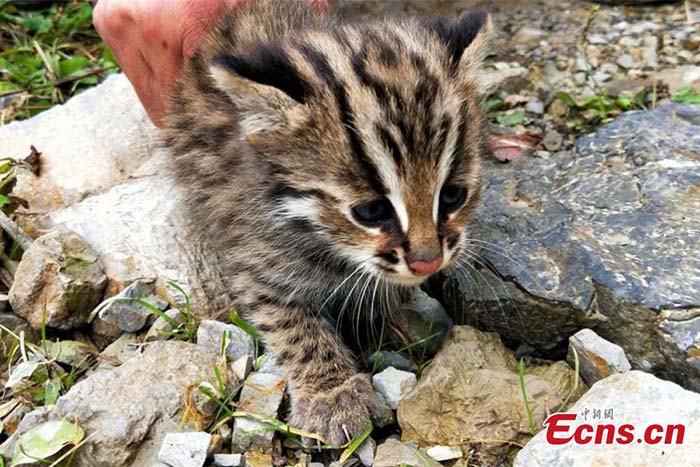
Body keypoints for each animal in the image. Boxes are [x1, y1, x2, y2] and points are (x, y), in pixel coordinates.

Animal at [165, 0, 492, 442]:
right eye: (370, 211)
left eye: (454, 195)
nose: (429, 263)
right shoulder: (252, 255)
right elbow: (290, 323)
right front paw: (331, 393)